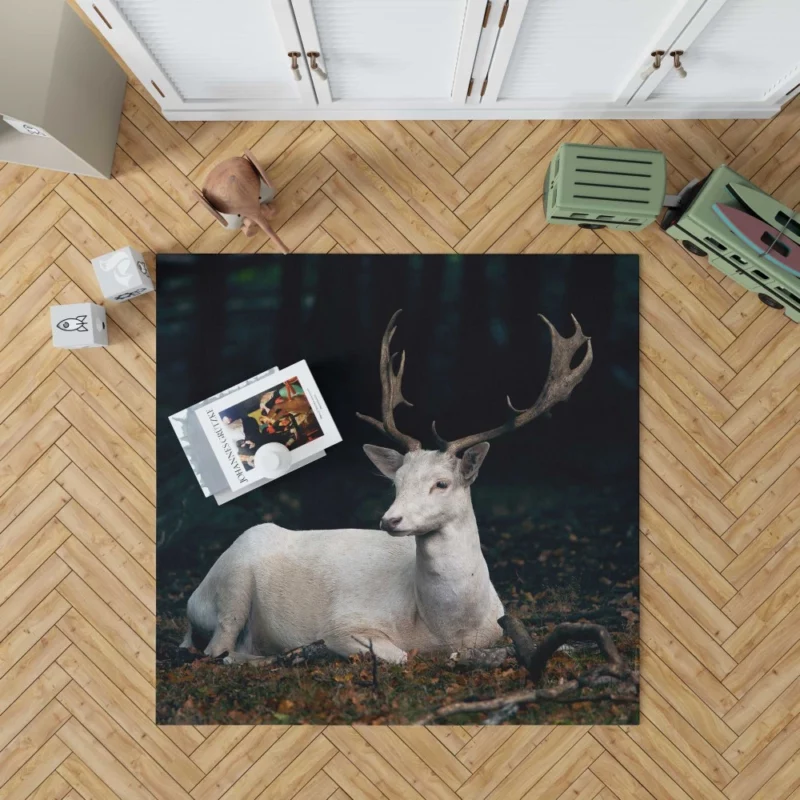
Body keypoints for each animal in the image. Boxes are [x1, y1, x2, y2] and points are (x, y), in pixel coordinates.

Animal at [183, 310, 592, 664]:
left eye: (442, 483)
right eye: (397, 483)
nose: (389, 520)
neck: (446, 628)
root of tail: (193, 599)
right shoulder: (344, 623)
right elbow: (399, 656)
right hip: (231, 587)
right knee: (216, 651)